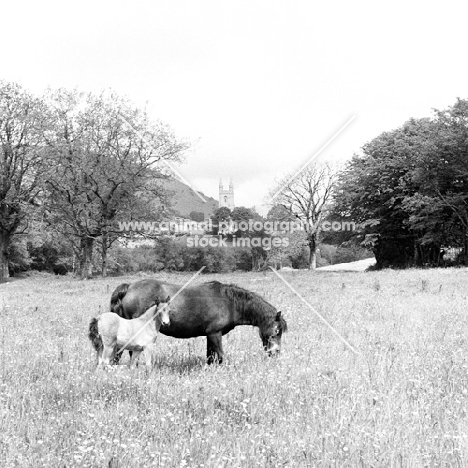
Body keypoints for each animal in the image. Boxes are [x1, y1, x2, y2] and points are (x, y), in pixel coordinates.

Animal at [110, 280, 288, 364]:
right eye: (277, 330)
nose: (275, 352)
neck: (229, 302)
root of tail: (129, 287)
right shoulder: (215, 334)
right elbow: (220, 357)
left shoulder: (210, 335)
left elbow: (210, 358)